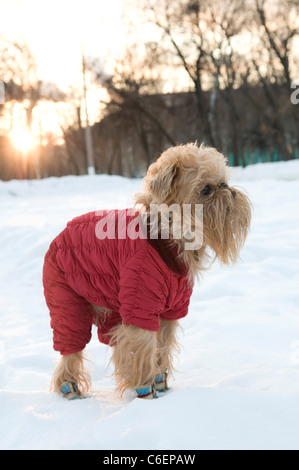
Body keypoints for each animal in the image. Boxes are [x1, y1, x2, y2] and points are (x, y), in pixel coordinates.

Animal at [42, 141, 252, 398]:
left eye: (223, 182)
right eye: (205, 190)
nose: (228, 190)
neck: (170, 240)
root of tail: (59, 236)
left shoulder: (170, 312)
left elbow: (162, 346)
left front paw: (160, 382)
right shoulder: (140, 307)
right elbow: (142, 348)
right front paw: (146, 389)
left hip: (109, 306)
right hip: (66, 300)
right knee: (70, 348)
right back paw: (69, 387)